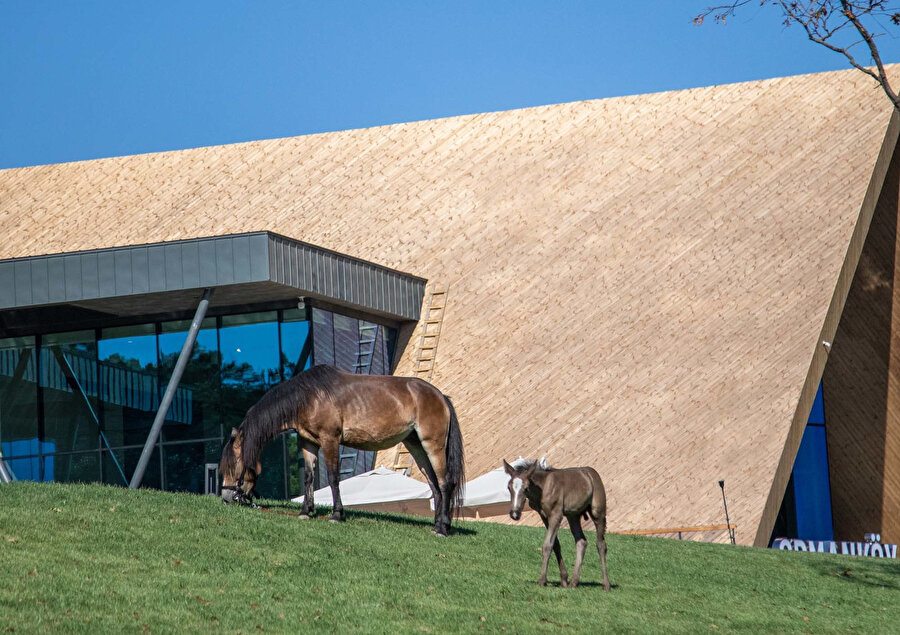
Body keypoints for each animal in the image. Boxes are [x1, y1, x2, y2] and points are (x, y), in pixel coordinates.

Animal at [221, 366, 468, 536]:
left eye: (235, 465)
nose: (226, 498)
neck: (309, 396)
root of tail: (440, 396)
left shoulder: (330, 440)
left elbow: (333, 477)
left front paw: (337, 514)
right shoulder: (308, 442)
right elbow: (309, 477)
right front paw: (305, 511)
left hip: (433, 445)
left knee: (445, 482)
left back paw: (443, 528)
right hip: (415, 446)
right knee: (434, 484)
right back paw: (437, 524)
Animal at [502, 460, 608, 588]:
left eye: (526, 488)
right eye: (509, 487)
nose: (515, 514)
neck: (543, 487)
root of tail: (592, 474)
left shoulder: (556, 515)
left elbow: (547, 545)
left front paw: (542, 580)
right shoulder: (544, 516)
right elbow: (556, 544)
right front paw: (564, 579)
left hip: (598, 512)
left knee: (601, 544)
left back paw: (606, 584)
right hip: (573, 515)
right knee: (581, 541)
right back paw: (573, 582)